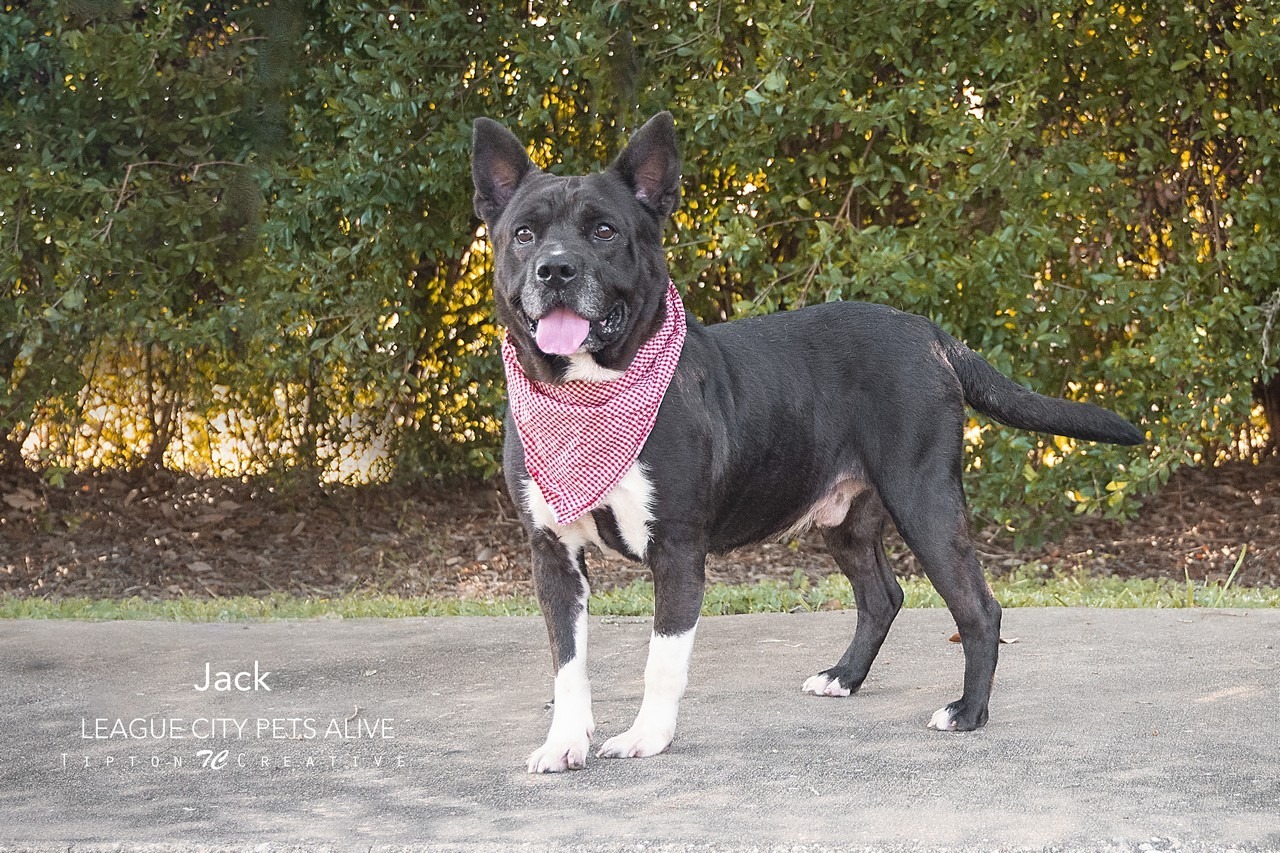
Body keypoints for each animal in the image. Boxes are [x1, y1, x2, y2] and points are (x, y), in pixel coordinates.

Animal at [476, 109, 1146, 768]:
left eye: (605, 231)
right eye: (524, 234)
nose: (556, 270)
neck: (588, 390)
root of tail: (928, 333)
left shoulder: (677, 549)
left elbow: (661, 662)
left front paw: (647, 737)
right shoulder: (551, 553)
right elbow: (567, 663)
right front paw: (564, 742)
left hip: (924, 499)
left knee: (979, 608)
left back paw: (967, 713)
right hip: (848, 518)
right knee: (882, 595)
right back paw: (845, 677)